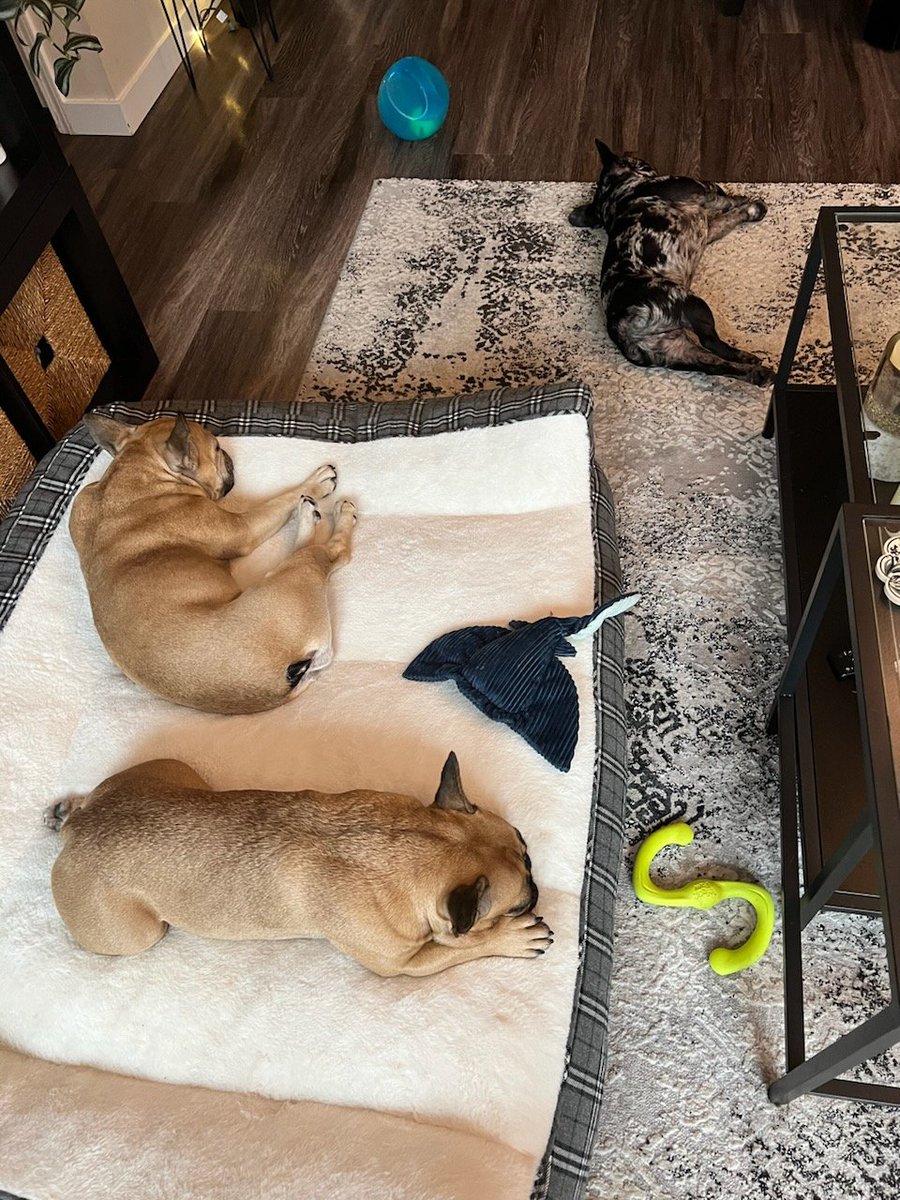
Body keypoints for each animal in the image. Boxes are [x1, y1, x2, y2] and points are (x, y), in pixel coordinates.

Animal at [51, 753, 556, 979]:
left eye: (526, 848)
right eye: (517, 905)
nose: (537, 886)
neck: (408, 840)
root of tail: (81, 828)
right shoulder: (404, 963)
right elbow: (463, 947)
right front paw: (512, 937)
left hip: (173, 771)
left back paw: (62, 809)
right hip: (136, 934)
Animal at [68, 412, 355, 710]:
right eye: (216, 448)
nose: (226, 454)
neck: (135, 475)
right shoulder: (244, 528)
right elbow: (278, 500)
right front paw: (314, 483)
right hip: (289, 577)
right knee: (331, 554)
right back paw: (321, 513)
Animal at [571, 139, 777, 386]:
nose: (639, 157)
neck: (620, 194)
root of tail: (621, 326)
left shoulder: (708, 228)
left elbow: (728, 218)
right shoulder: (703, 191)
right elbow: (726, 200)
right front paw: (750, 204)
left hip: (676, 350)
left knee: (715, 365)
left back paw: (758, 374)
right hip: (689, 302)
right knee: (711, 343)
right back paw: (746, 358)